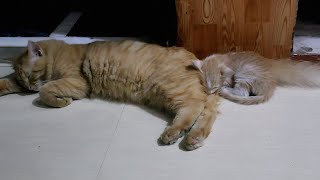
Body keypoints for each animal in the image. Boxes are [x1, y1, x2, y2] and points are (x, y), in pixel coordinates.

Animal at [0, 39, 220, 150]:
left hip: (169, 88)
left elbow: (45, 91)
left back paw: (174, 132)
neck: (59, 53)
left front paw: (61, 101)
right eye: (22, 79)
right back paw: (193, 138)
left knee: (194, 106)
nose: (28, 88)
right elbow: (6, 82)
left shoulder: (77, 82)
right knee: (206, 114)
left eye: (30, 75)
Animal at [191, 51, 320, 105]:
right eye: (204, 84)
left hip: (243, 73)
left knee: (243, 93)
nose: (209, 93)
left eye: (214, 87)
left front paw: (222, 87)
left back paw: (226, 91)